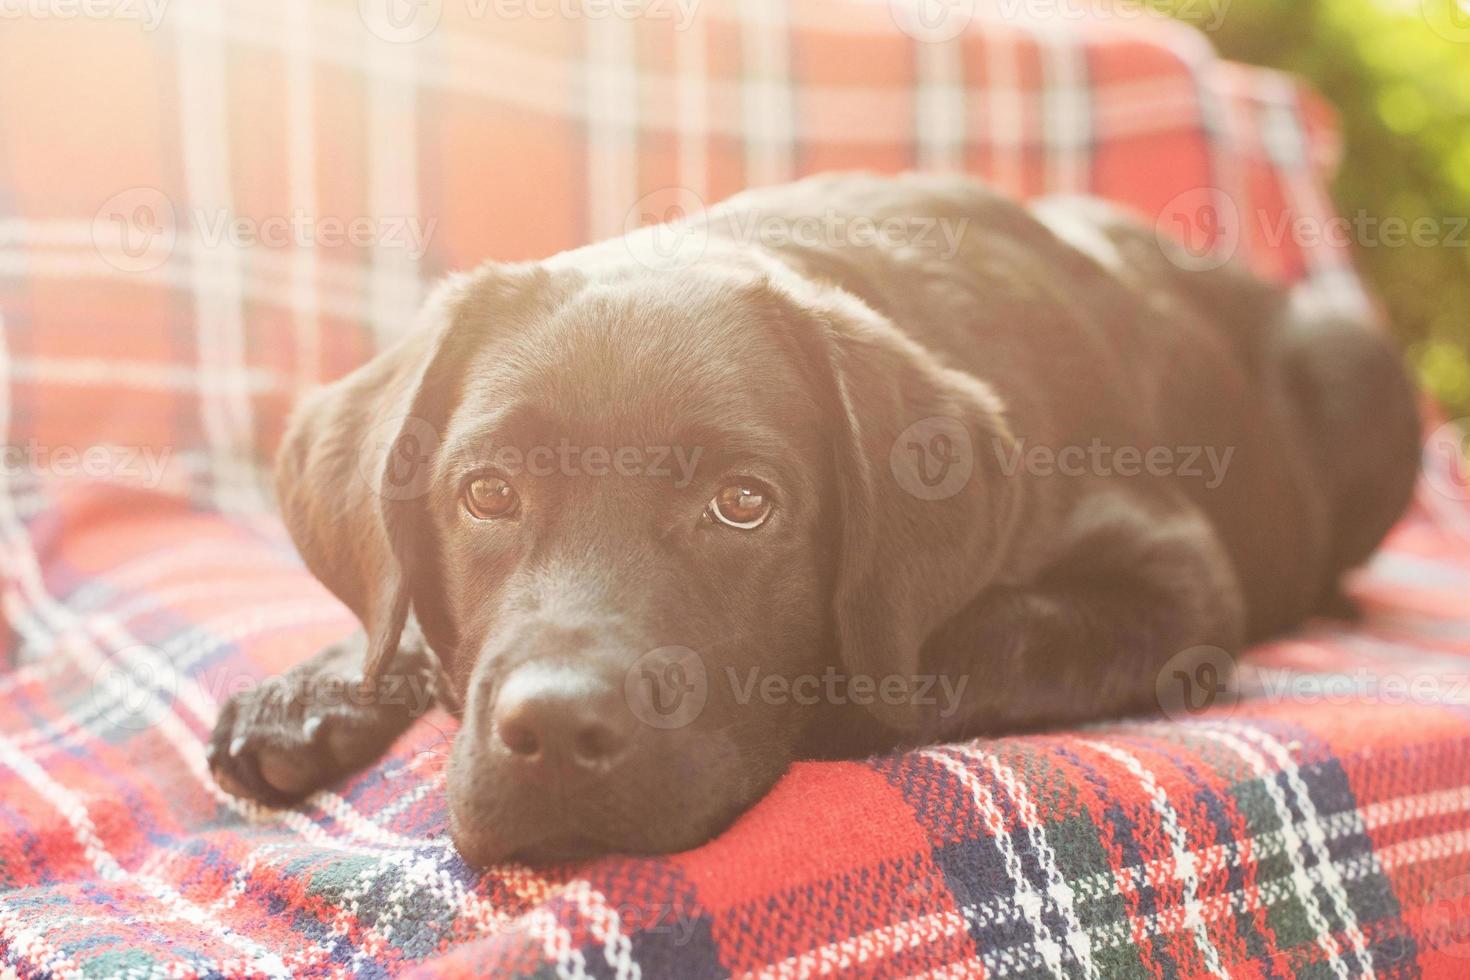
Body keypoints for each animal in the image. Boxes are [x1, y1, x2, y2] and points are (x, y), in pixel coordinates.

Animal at [204, 174, 1411, 863]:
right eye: (487, 492)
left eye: (744, 504)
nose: (552, 732)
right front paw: (318, 690)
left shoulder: (1172, 579)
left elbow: (957, 650)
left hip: (1359, 369)